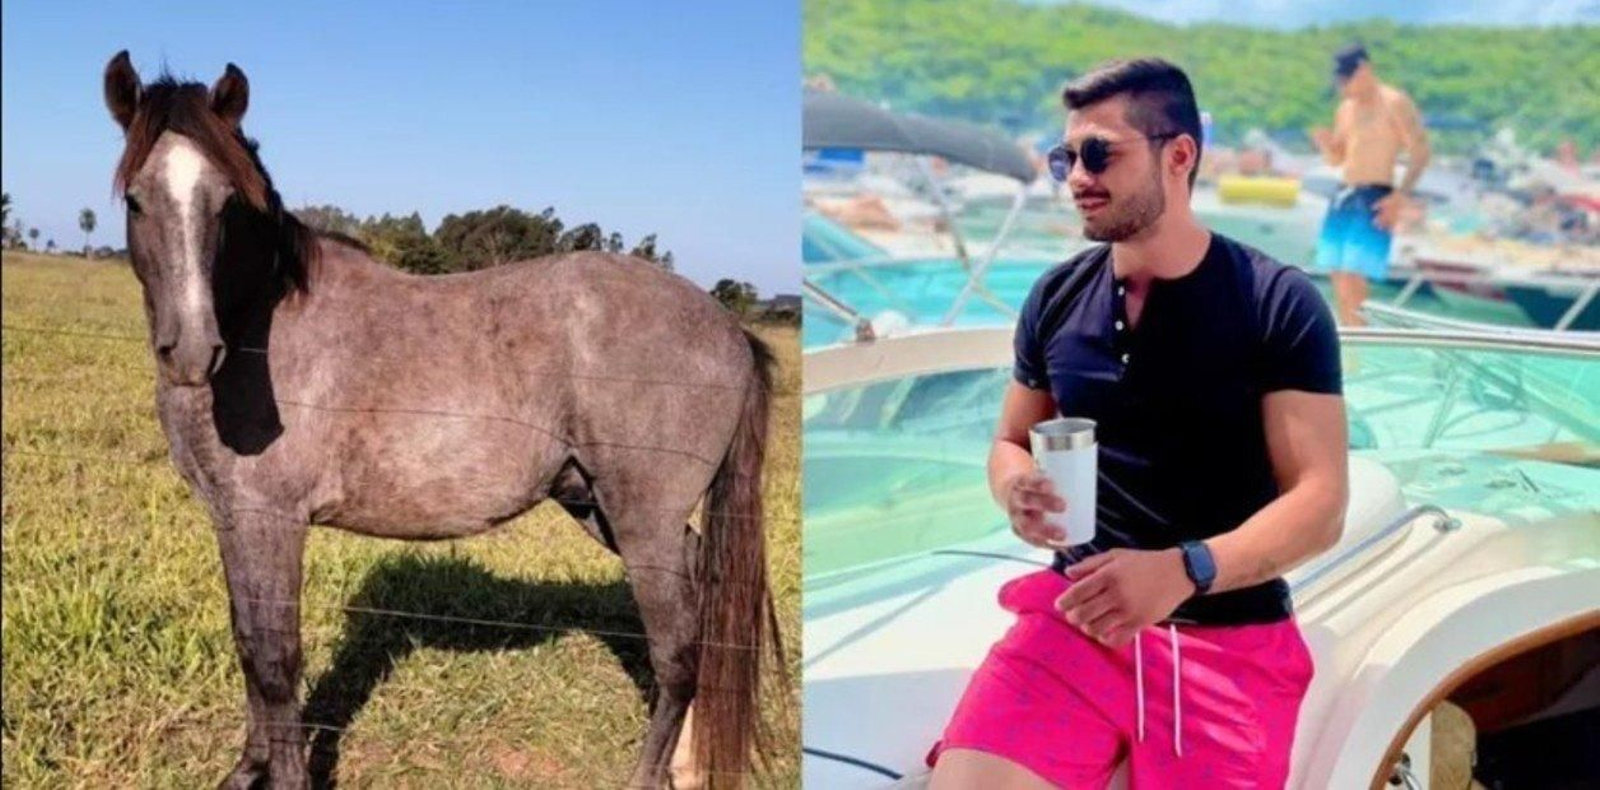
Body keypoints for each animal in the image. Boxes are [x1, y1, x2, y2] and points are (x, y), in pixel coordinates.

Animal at [101, 51, 777, 789]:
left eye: (227, 203)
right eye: (136, 199)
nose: (193, 351)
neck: (263, 330)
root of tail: (730, 329)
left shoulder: (271, 520)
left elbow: (277, 662)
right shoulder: (231, 520)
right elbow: (248, 644)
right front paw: (246, 769)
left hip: (641, 519)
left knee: (678, 650)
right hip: (598, 503)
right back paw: (691, 762)